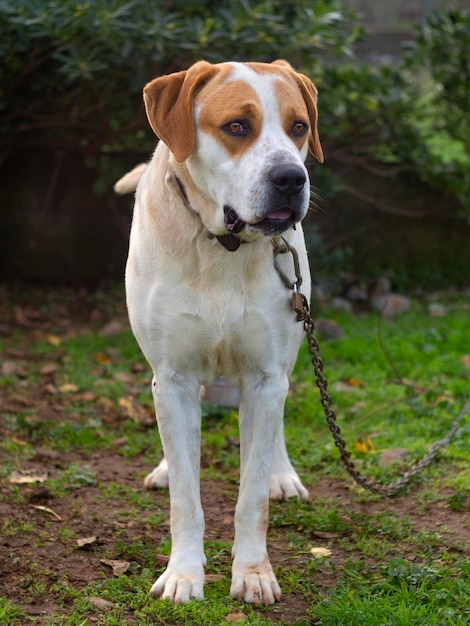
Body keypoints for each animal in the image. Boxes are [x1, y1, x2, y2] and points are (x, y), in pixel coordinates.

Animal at [116, 59, 324, 604]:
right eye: (237, 126)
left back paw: (282, 474)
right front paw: (183, 574)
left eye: (299, 127)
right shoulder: (172, 375)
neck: (222, 248)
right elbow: (186, 499)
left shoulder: (267, 376)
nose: (291, 177)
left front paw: (253, 574)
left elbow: (251, 498)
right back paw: (167, 467)